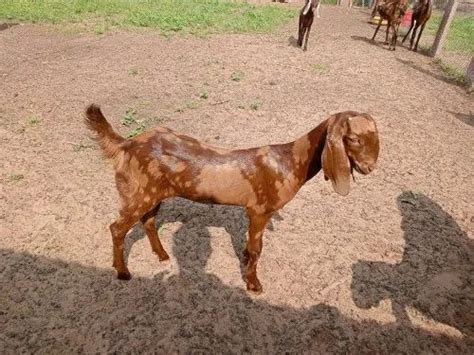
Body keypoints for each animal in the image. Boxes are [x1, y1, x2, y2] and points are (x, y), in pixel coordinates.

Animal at [86, 105, 382, 294]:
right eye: (354, 139)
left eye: (376, 138)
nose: (369, 168)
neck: (290, 162)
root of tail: (127, 144)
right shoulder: (260, 210)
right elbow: (258, 249)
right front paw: (253, 284)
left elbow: (252, 245)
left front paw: (244, 260)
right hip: (139, 192)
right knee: (117, 227)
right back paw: (122, 272)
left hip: (152, 192)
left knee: (148, 221)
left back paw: (161, 255)